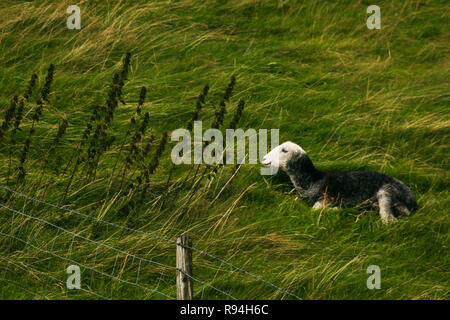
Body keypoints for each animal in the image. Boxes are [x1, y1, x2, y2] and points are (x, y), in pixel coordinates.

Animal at [260, 141, 418, 224]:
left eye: (284, 150)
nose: (264, 159)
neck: (313, 180)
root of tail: (414, 202)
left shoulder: (326, 197)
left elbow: (314, 210)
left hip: (387, 191)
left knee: (389, 219)